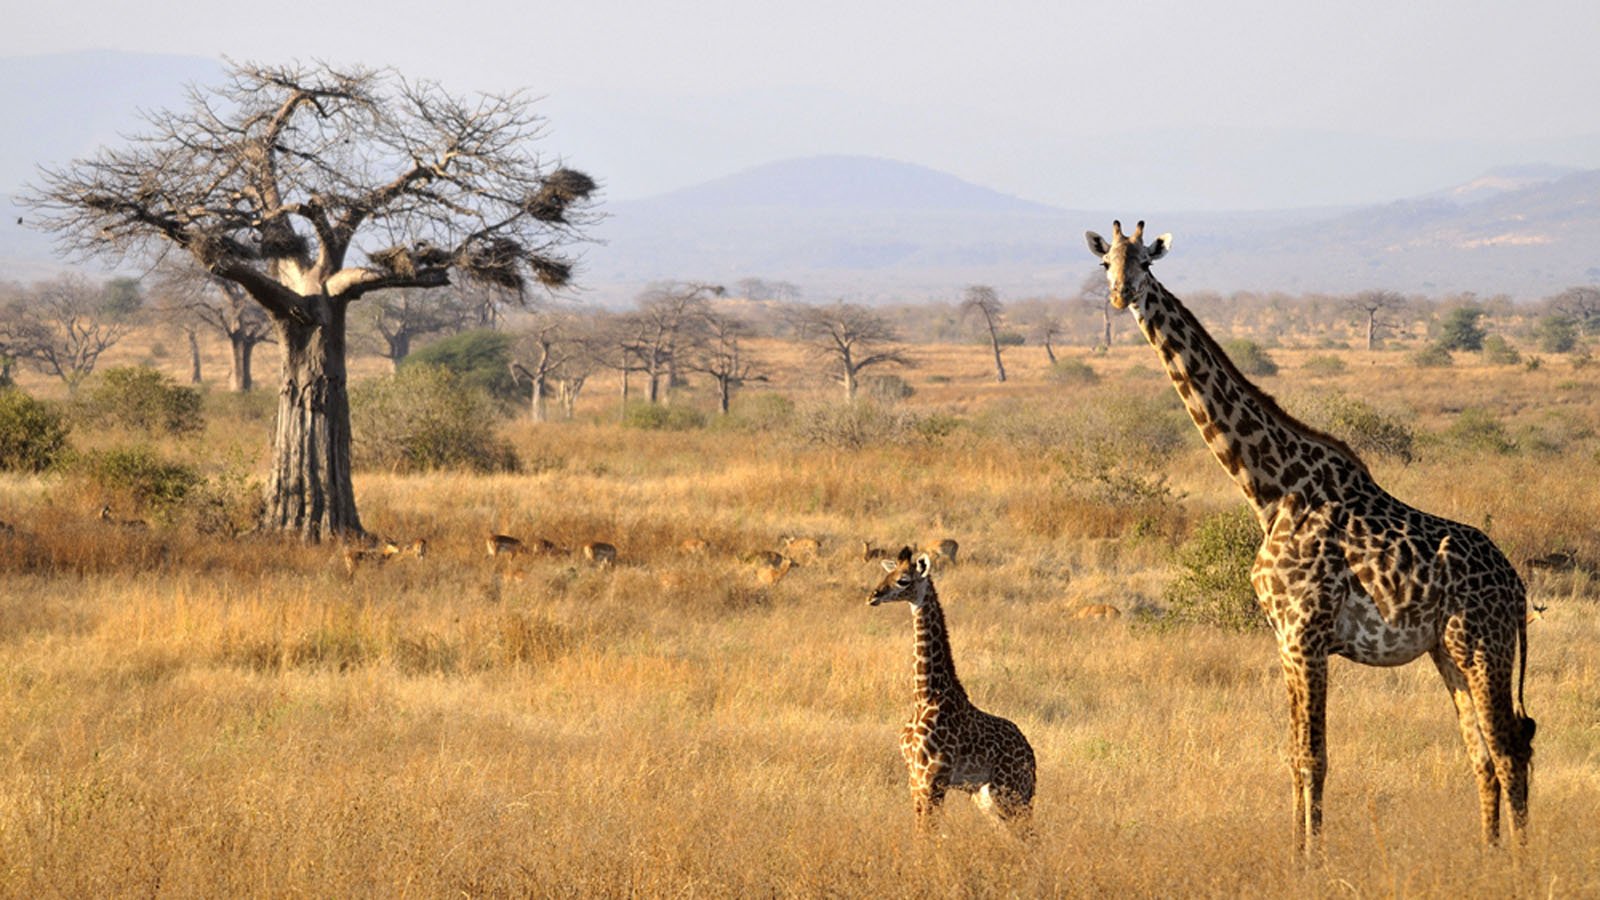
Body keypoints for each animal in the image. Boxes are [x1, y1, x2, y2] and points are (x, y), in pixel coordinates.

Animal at [864, 544, 1036, 832]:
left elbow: (929, 834)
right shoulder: (915, 780)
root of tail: (1031, 754)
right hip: (987, 797)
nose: (872, 596)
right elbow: (920, 833)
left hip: (1012, 791)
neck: (925, 695)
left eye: (903, 580)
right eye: (886, 575)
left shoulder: (935, 779)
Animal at [1088, 220, 1536, 851]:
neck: (1271, 491)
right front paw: (1297, 852)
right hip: (1448, 653)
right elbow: (1294, 756)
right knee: (1482, 753)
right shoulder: (1283, 639)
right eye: (1107, 263)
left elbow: (1314, 758)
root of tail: (1516, 587)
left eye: (1146, 264)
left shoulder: (1306, 635)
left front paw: (1311, 859)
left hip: (1483, 648)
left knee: (1508, 750)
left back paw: (1520, 860)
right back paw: (1487, 853)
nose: (1120, 296)